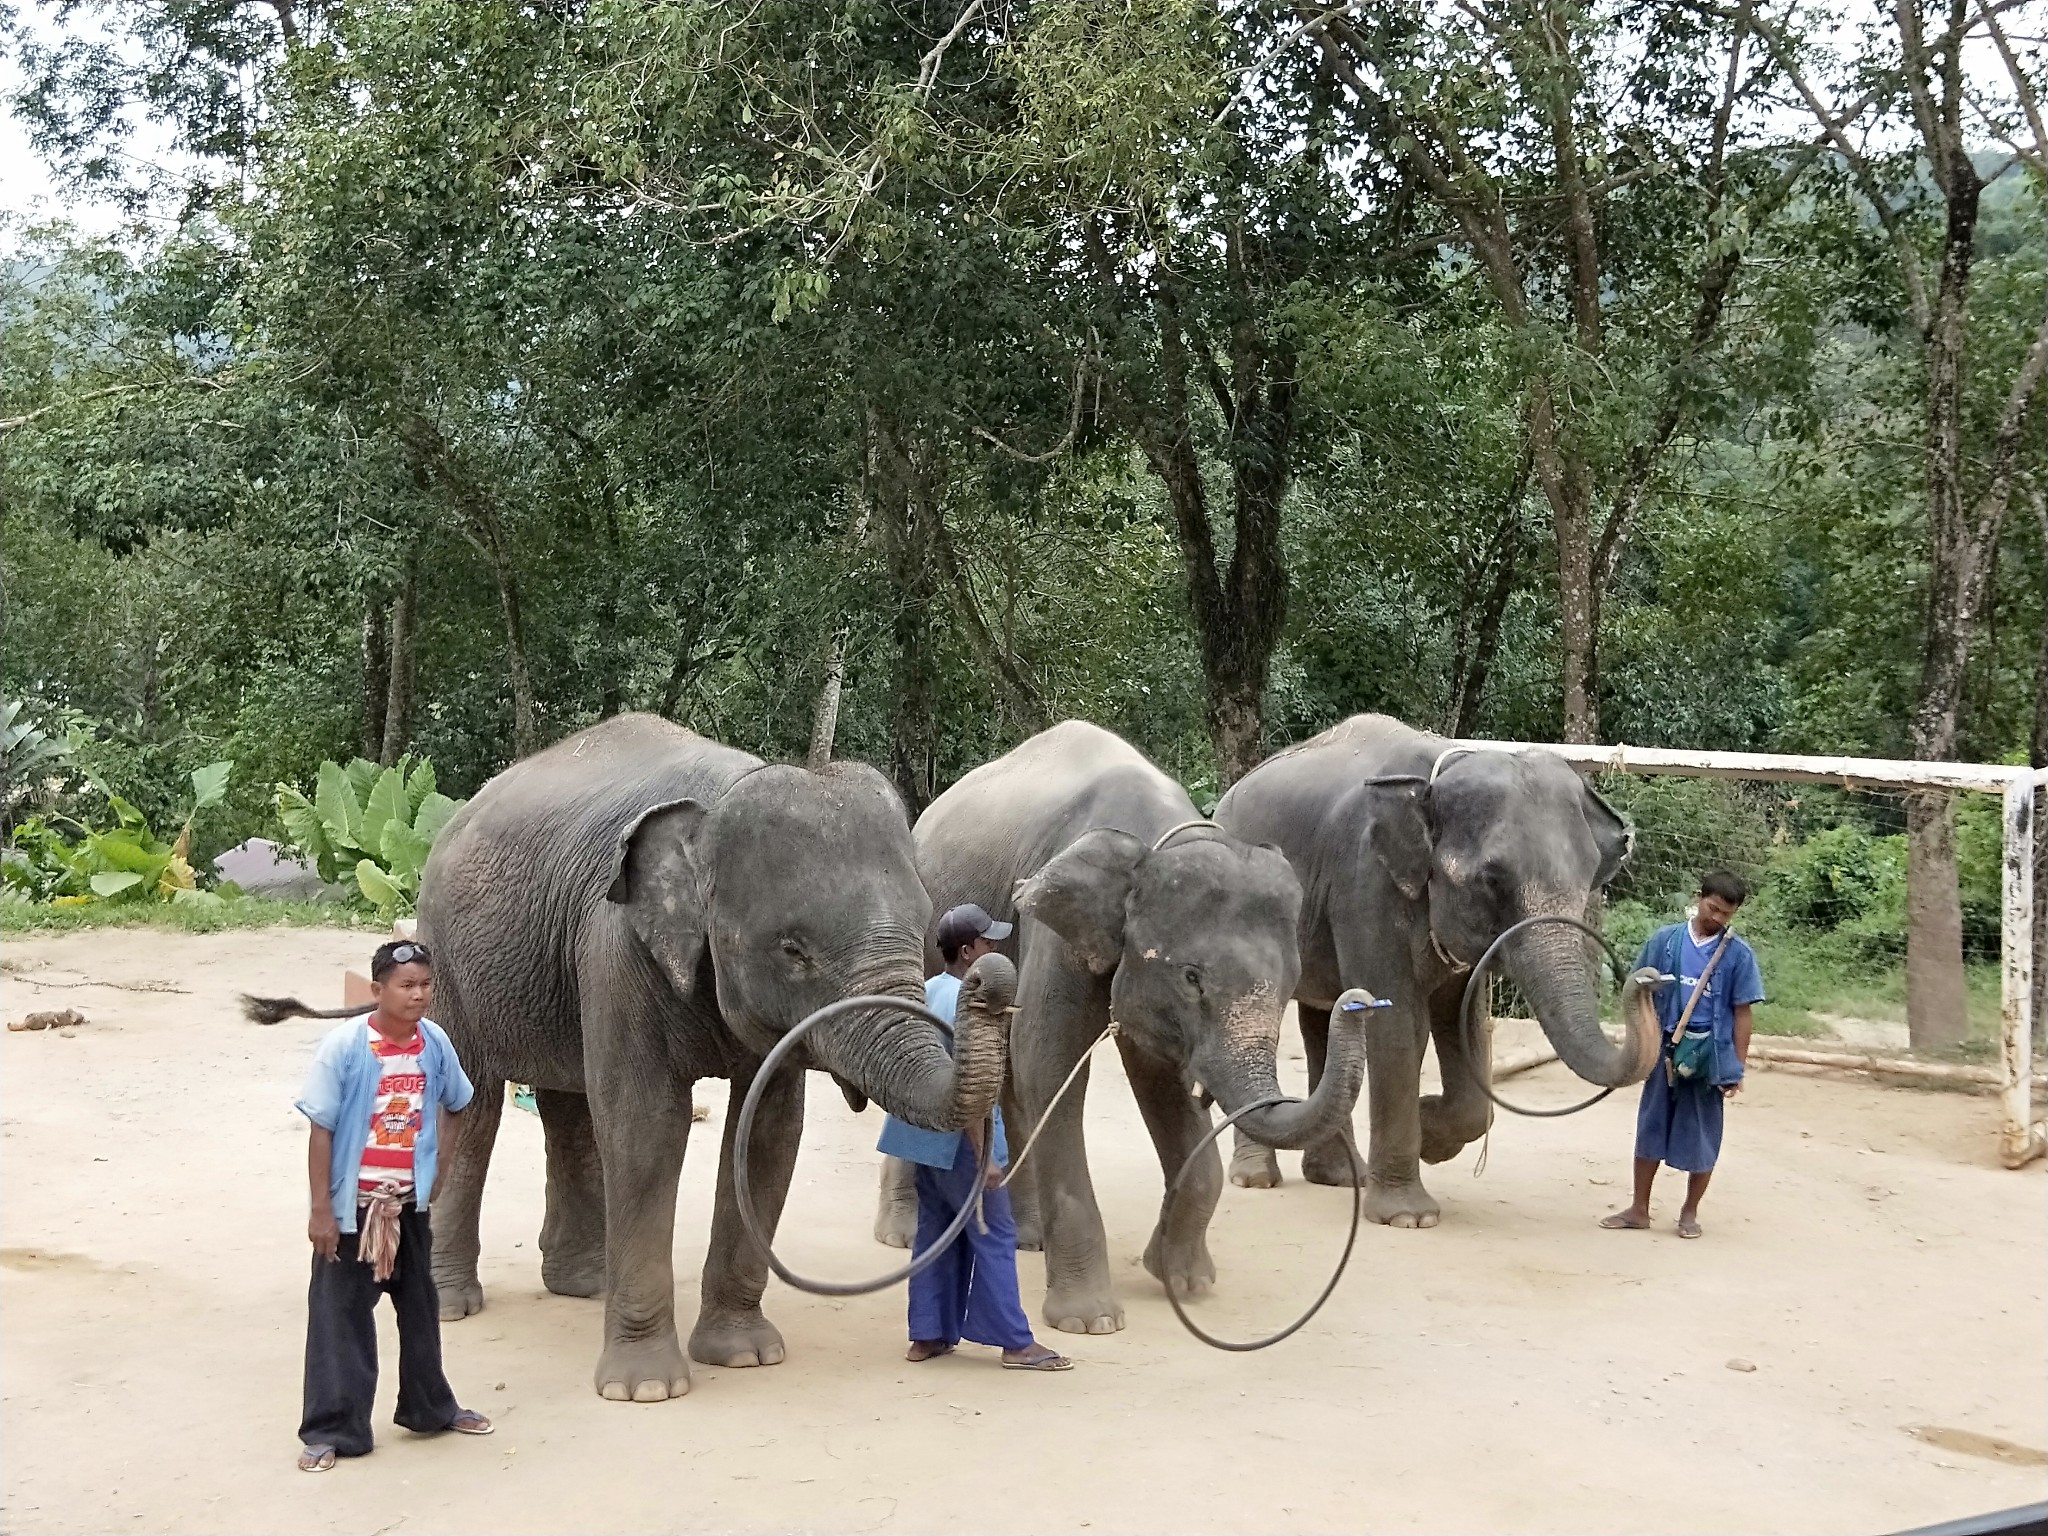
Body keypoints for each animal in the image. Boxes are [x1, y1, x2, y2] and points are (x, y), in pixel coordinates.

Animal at [417, 716, 1015, 1400]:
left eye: (923, 929)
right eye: (792, 949)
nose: (991, 976)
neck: (718, 801)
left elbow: (768, 1134)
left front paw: (745, 1357)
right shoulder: (615, 945)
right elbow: (647, 1125)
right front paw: (645, 1389)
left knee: (567, 1105)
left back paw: (583, 1287)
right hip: (445, 956)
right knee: (476, 1102)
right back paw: (453, 1304)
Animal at [872, 720, 1368, 1335]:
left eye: (1288, 983)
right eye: (1191, 978)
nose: (1356, 999)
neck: (1157, 842)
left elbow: (1157, 1082)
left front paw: (1183, 1280)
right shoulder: (1054, 929)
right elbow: (1049, 1064)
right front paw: (1090, 1322)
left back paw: (1029, 1240)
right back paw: (902, 1236)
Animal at [1212, 716, 1662, 1236]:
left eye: (1592, 876)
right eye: (1492, 880)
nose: (1647, 979)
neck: (1441, 770)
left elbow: (1463, 1021)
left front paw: (1428, 1130)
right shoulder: (1364, 884)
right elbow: (1397, 1021)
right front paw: (1409, 1216)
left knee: (1321, 1019)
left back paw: (1342, 1177)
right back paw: (1256, 1178)